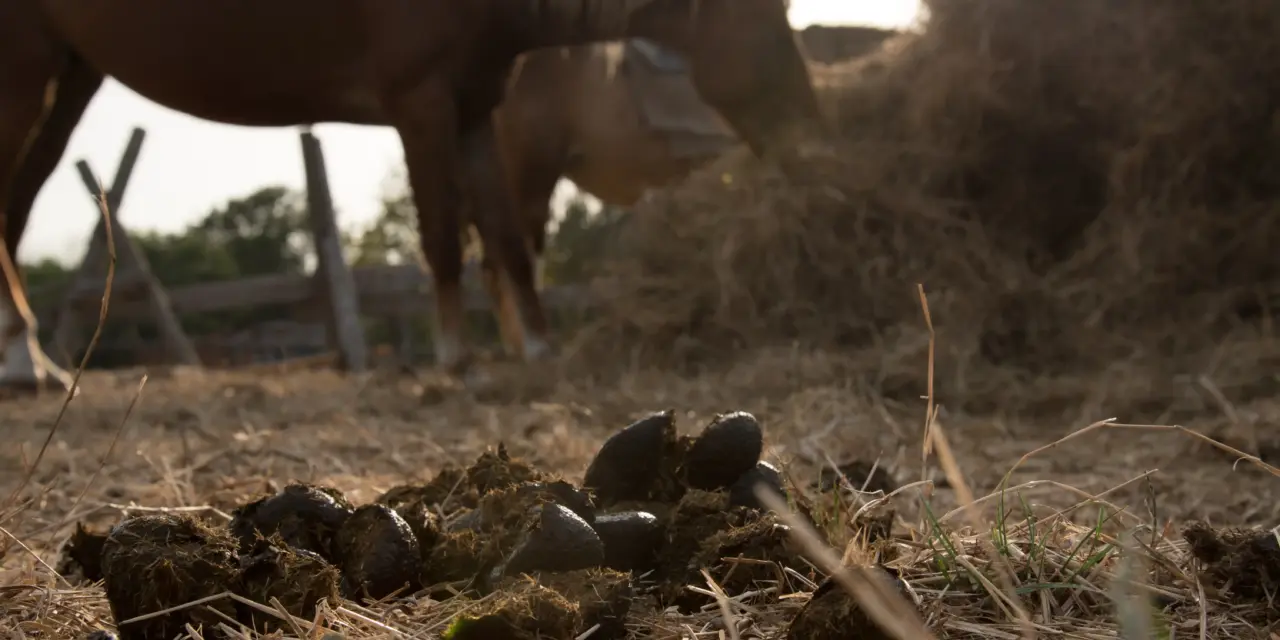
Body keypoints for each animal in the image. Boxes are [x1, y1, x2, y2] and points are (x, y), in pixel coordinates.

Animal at [0, 0, 825, 393]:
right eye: (771, 15)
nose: (812, 124)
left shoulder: (475, 106)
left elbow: (505, 240)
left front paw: (537, 349)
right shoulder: (420, 101)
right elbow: (441, 237)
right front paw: (457, 359)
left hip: (72, 70)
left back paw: (30, 360)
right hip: (28, 64)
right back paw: (25, 362)